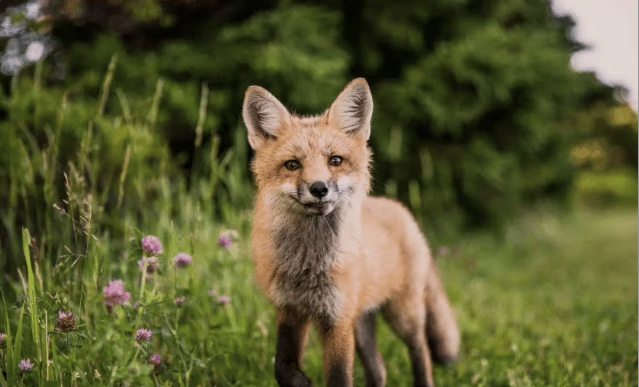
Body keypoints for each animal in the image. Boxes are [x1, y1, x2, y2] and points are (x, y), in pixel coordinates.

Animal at [244, 79, 460, 387]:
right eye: (292, 165)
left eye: (335, 160)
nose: (319, 188)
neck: (308, 265)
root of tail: (400, 209)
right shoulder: (290, 310)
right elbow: (282, 365)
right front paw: (301, 380)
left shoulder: (337, 319)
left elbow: (339, 376)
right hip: (361, 322)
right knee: (379, 370)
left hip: (402, 314)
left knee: (421, 351)